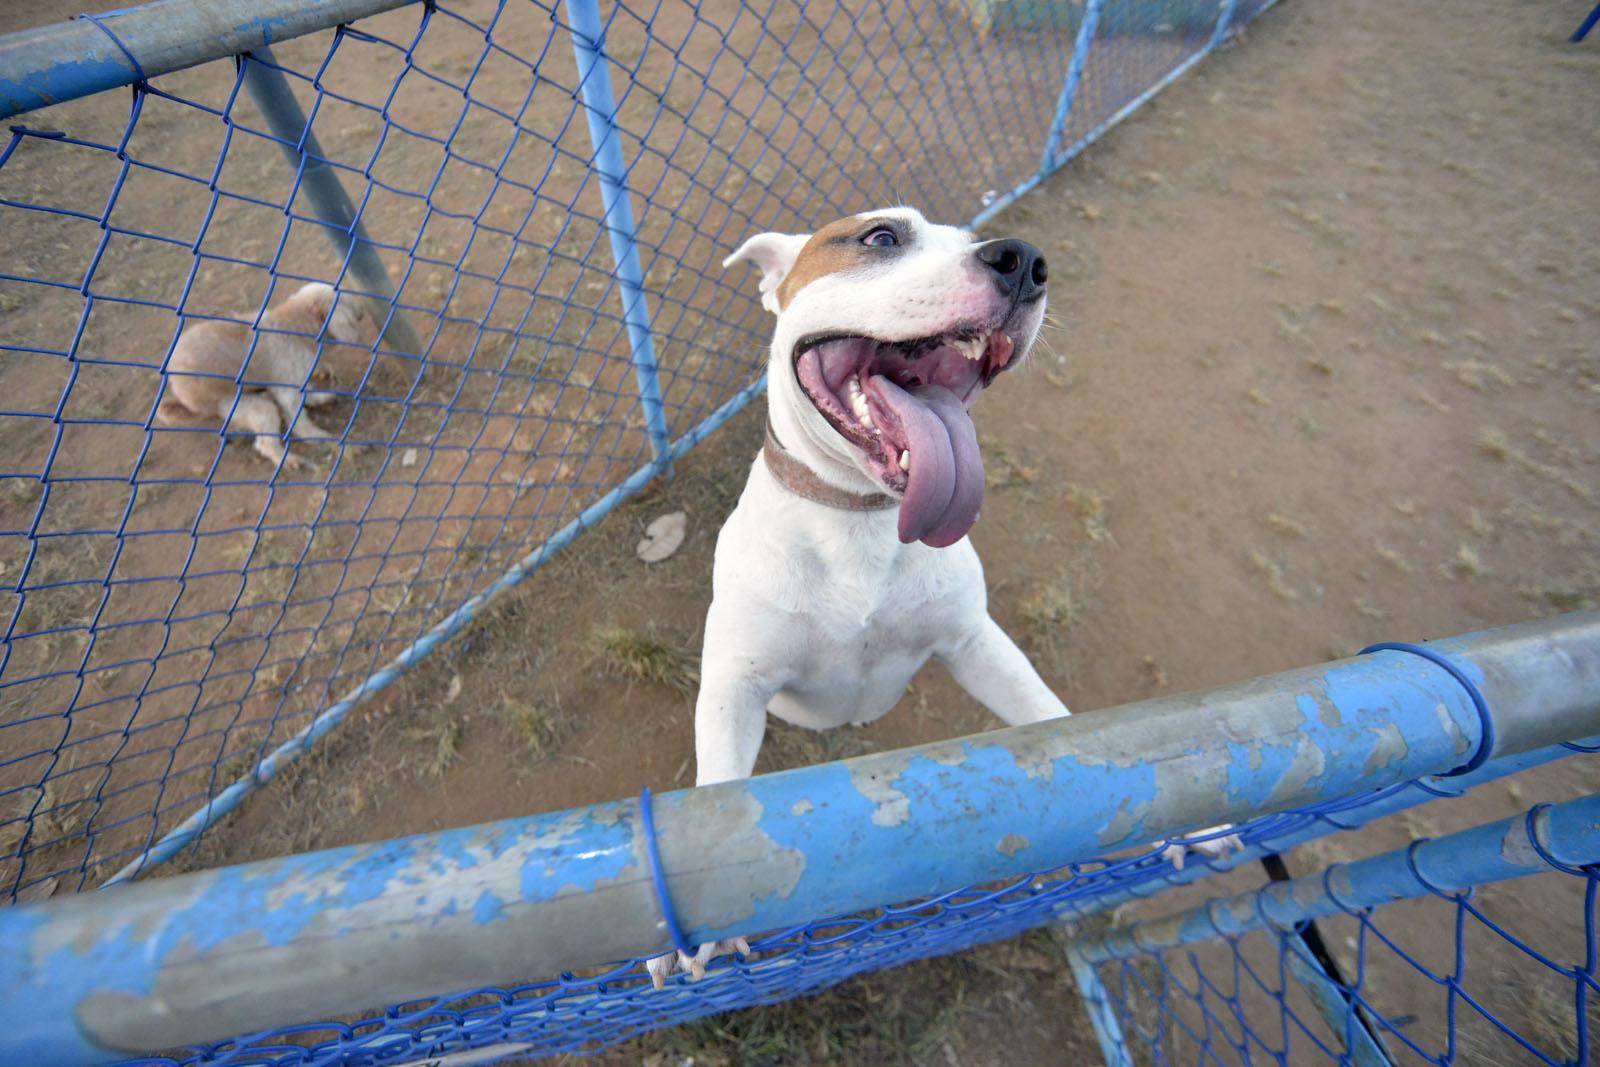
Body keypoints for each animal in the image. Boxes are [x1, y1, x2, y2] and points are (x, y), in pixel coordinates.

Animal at [154, 281, 369, 470]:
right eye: (349, 301)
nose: (362, 311)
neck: (295, 323)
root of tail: (177, 385)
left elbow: (307, 392)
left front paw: (320, 397)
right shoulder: (286, 388)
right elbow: (299, 420)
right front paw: (315, 434)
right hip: (249, 407)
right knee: (264, 443)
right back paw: (286, 459)